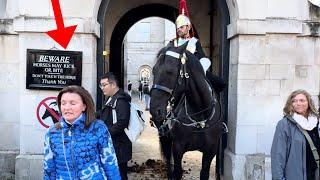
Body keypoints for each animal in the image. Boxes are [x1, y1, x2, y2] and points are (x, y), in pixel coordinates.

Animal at [151, 43, 228, 179]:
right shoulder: (178, 148)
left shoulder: (210, 151)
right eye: (154, 70)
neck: (200, 117)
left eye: (170, 71)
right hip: (166, 139)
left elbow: (204, 173)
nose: (155, 110)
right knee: (168, 162)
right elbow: (177, 171)